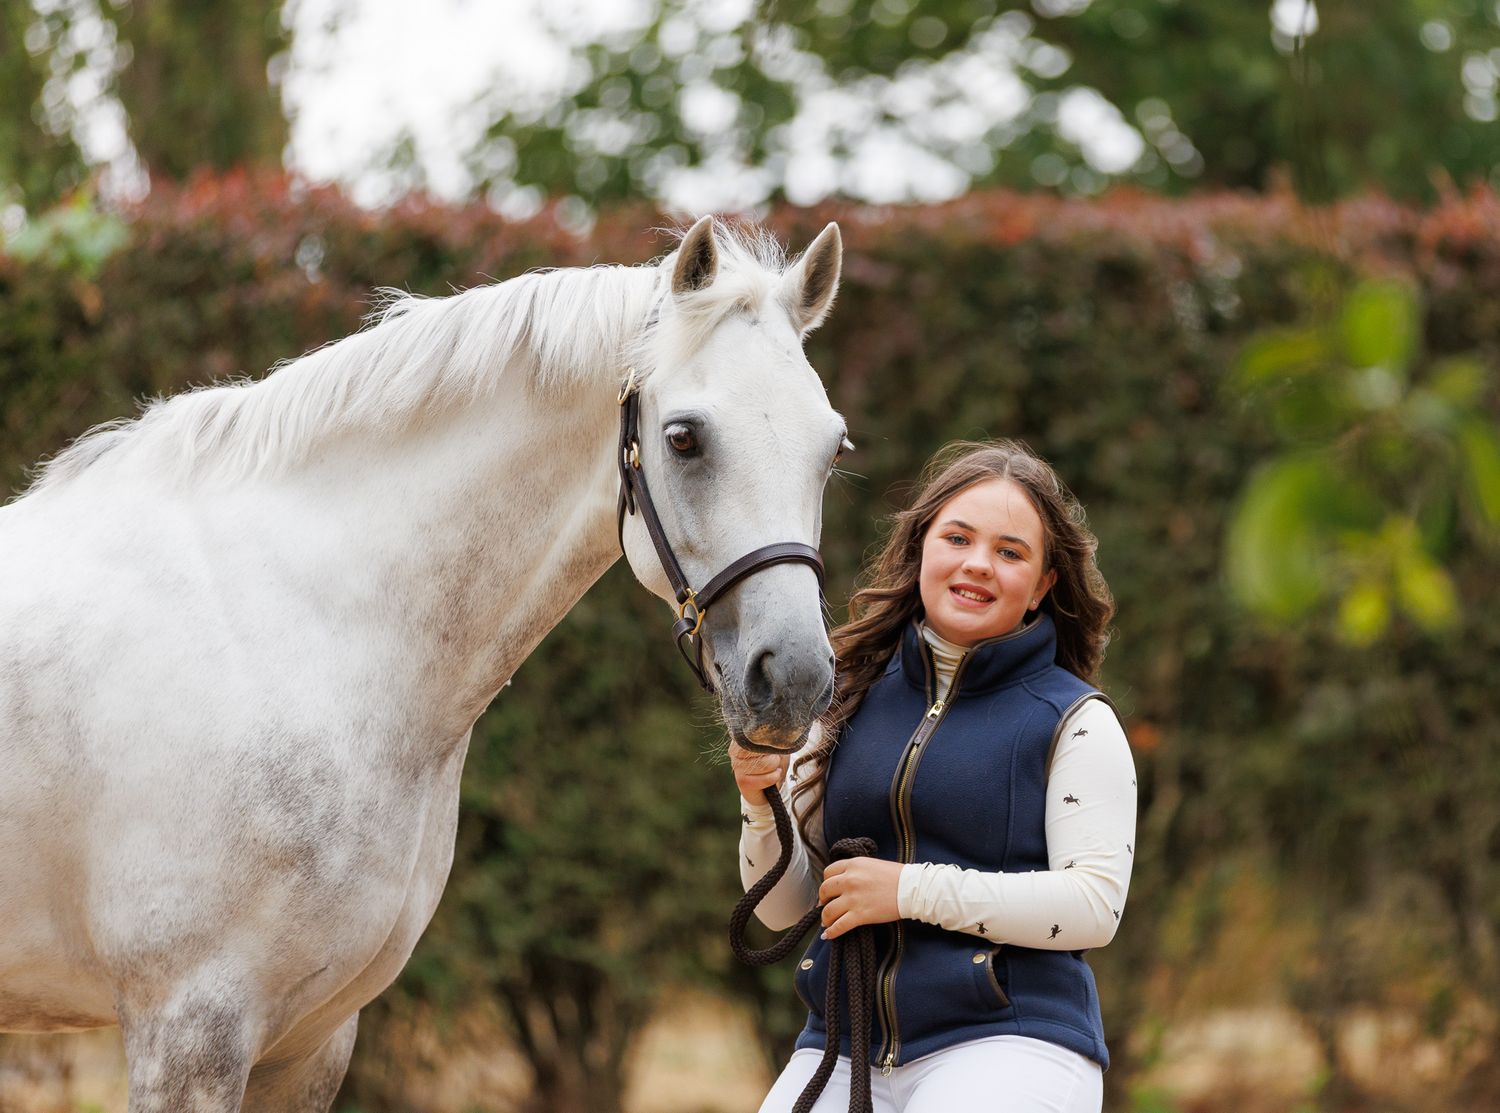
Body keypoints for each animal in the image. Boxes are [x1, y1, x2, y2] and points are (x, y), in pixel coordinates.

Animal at [0, 215, 846, 1110]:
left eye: (833, 447)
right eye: (683, 437)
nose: (794, 680)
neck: (302, 630)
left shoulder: (310, 1042)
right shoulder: (189, 1029)